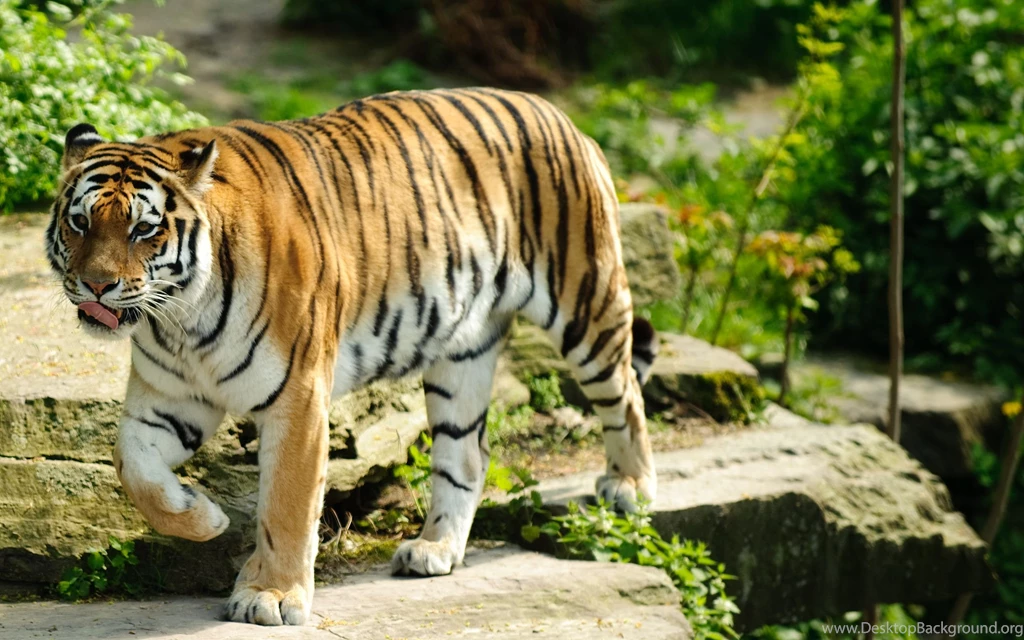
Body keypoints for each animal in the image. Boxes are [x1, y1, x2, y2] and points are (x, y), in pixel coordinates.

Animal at [45, 88, 659, 626]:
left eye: (143, 229)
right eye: (80, 222)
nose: (95, 286)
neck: (179, 321)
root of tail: (564, 117)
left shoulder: (298, 400)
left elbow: (287, 505)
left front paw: (271, 596)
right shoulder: (170, 399)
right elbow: (134, 469)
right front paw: (204, 515)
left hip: (587, 302)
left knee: (626, 395)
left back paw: (631, 488)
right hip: (462, 352)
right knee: (468, 454)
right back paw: (434, 549)